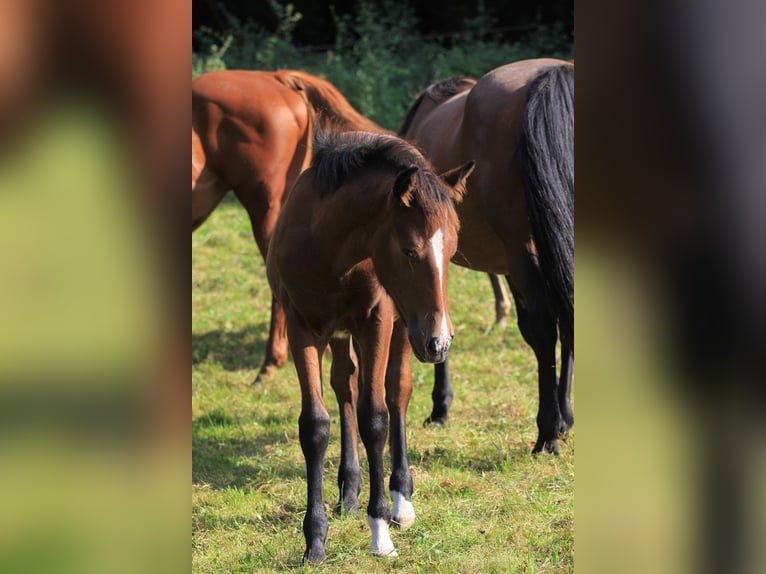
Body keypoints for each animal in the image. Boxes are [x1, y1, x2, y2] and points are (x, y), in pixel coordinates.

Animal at [268, 129, 474, 564]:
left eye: (451, 252)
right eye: (410, 251)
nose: (440, 342)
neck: (329, 252)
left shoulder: (377, 321)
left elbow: (375, 417)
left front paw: (380, 532)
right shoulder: (301, 328)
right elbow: (316, 425)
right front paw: (315, 539)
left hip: (402, 328)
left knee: (396, 392)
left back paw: (401, 499)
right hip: (352, 335)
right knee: (345, 385)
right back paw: (349, 488)